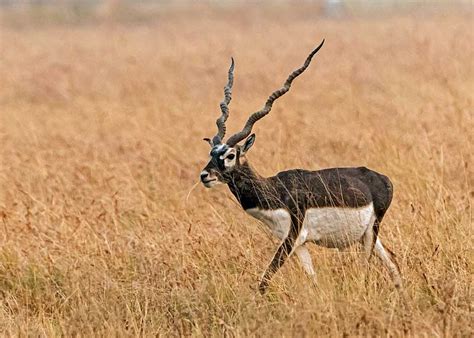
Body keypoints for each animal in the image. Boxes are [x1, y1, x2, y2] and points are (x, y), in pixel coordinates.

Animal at [198, 39, 402, 294]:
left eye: (231, 154)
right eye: (212, 153)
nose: (205, 175)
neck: (275, 190)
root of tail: (383, 179)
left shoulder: (292, 237)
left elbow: (265, 278)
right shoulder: (299, 245)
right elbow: (312, 280)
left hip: (370, 234)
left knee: (366, 269)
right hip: (370, 236)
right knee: (393, 262)